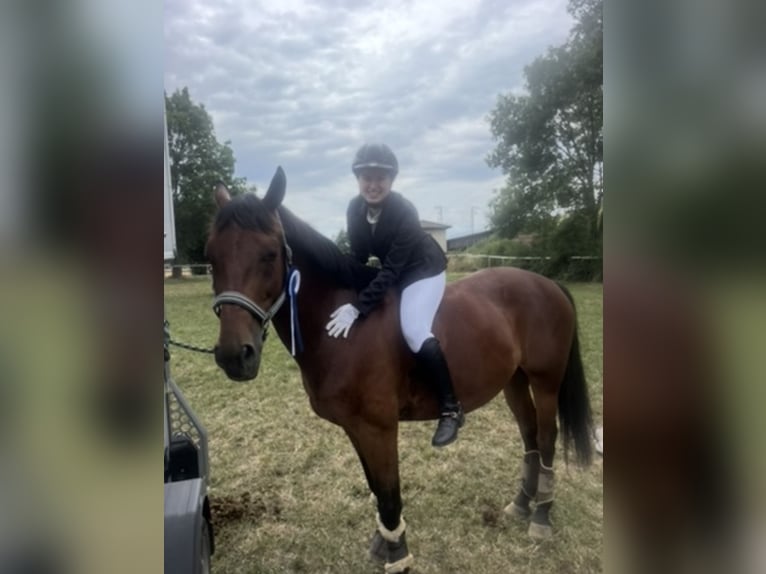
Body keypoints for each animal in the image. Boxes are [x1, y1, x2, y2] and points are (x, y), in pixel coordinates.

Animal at [206, 167, 594, 573]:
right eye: (210, 257)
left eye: (269, 254)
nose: (234, 355)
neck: (344, 329)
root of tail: (547, 284)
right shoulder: (355, 428)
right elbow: (377, 489)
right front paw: (384, 543)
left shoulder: (378, 428)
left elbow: (390, 493)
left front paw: (398, 557)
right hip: (514, 382)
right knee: (529, 434)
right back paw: (520, 505)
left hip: (545, 382)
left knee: (547, 437)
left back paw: (541, 517)